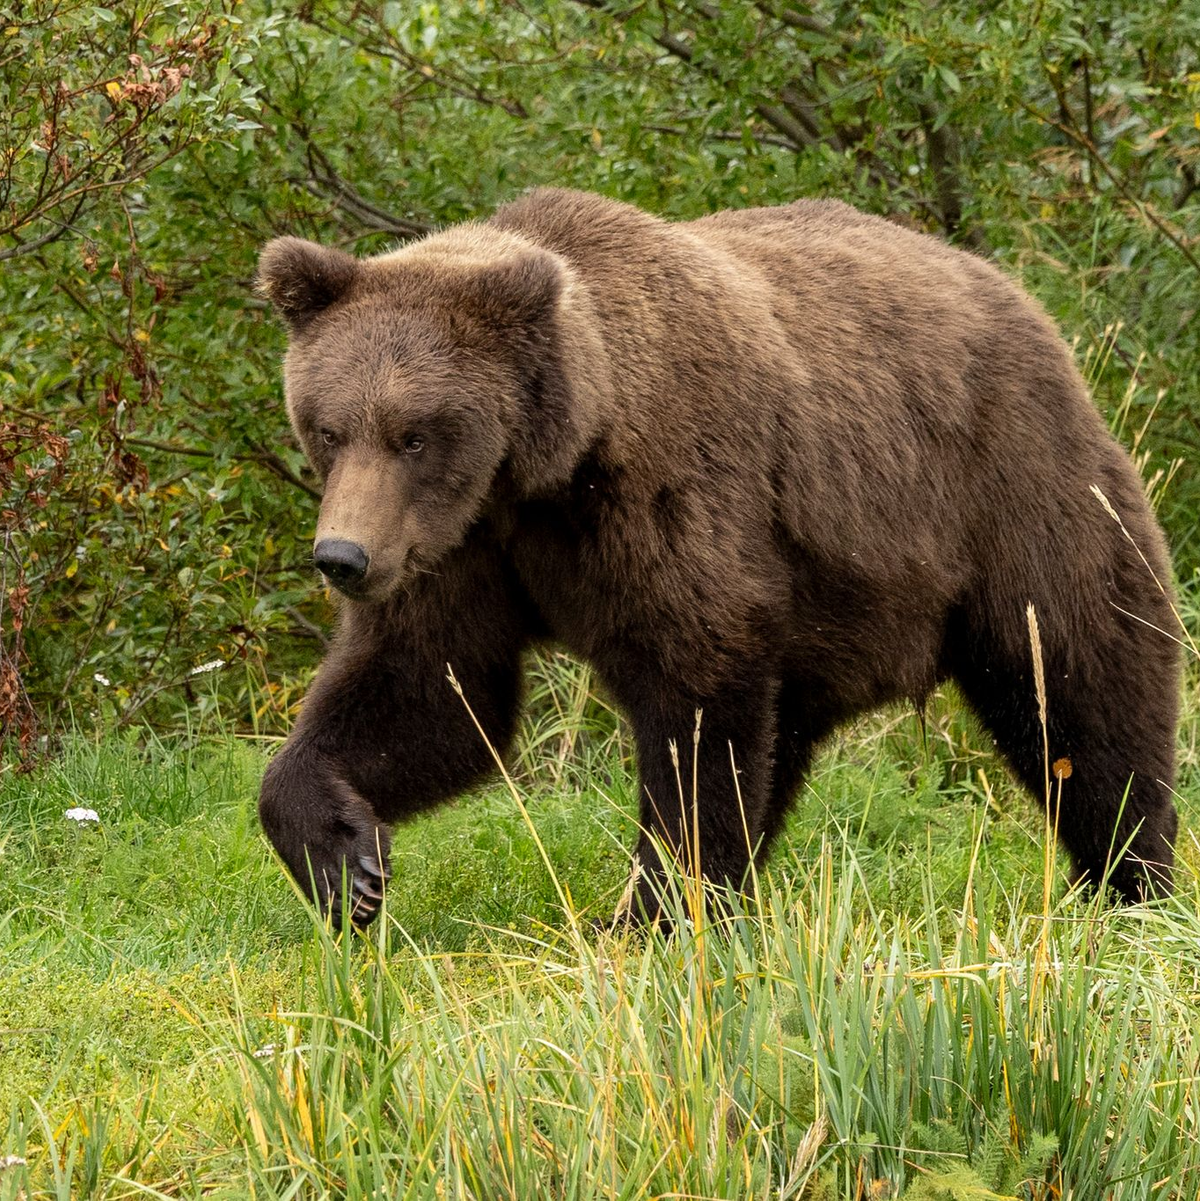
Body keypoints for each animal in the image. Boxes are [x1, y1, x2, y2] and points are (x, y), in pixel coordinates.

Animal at [256, 187, 1180, 928]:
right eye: (328, 427)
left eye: (414, 434)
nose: (342, 557)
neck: (548, 469)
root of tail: (1017, 296)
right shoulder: (461, 545)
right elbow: (431, 690)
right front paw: (346, 864)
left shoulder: (666, 493)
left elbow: (694, 699)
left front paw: (656, 910)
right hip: (831, 608)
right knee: (788, 738)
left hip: (1008, 492)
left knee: (1081, 681)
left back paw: (1135, 879)